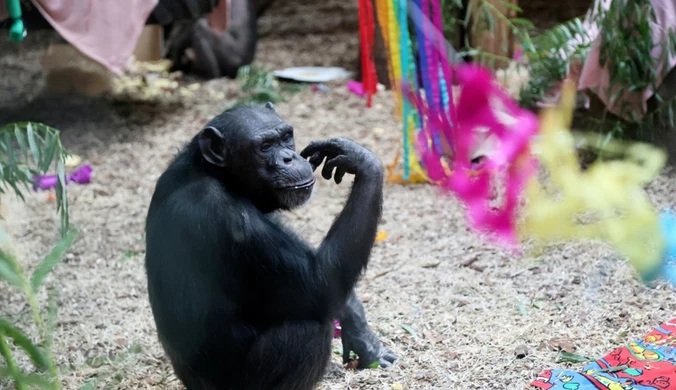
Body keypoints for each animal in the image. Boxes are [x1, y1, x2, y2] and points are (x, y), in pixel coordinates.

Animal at [143, 102, 396, 388]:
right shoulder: (225, 216)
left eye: (286, 137)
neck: (217, 176)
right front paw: (362, 160)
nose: (288, 158)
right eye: (264, 147)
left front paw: (361, 332)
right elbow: (319, 282)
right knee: (308, 327)